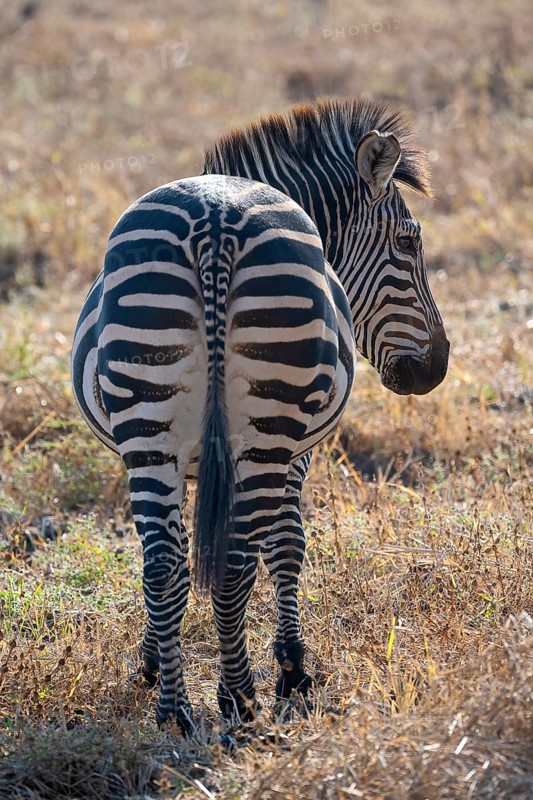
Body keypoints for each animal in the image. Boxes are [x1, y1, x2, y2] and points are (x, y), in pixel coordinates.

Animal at [71, 97, 449, 734]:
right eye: (407, 244)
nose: (437, 367)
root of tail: (216, 219)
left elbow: (172, 556)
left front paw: (151, 663)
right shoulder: (299, 451)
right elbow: (288, 542)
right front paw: (293, 671)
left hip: (150, 424)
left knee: (163, 563)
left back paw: (176, 712)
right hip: (267, 431)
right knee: (235, 563)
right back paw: (238, 701)